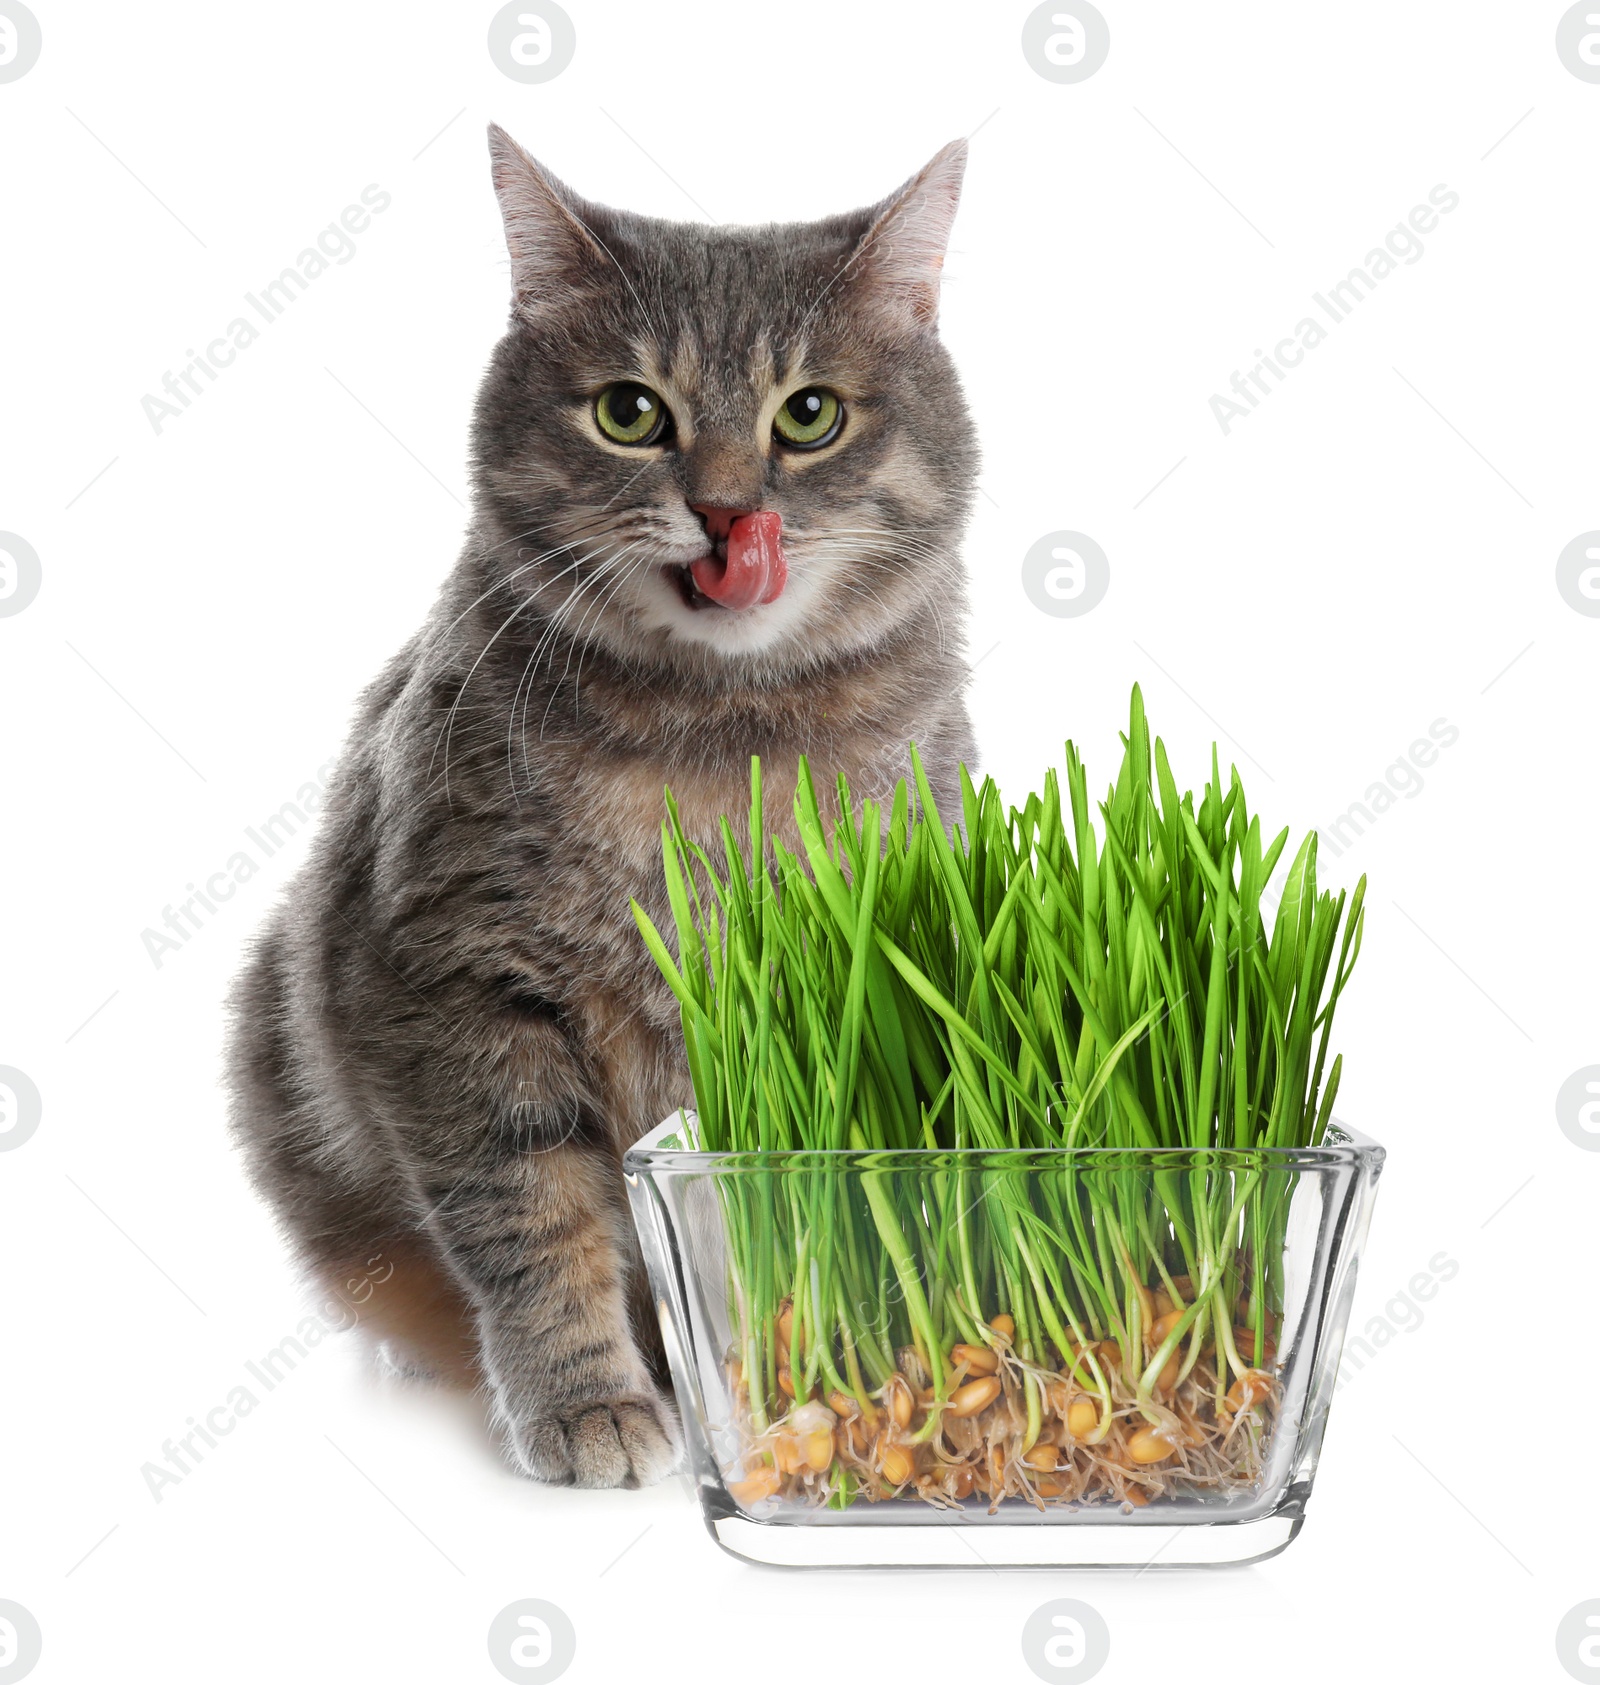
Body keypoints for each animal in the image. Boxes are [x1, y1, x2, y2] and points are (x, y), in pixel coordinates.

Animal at [225, 128, 976, 1489]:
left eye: (809, 414)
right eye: (631, 412)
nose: (729, 511)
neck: (719, 743)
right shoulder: (454, 980)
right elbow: (533, 1216)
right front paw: (588, 1400)